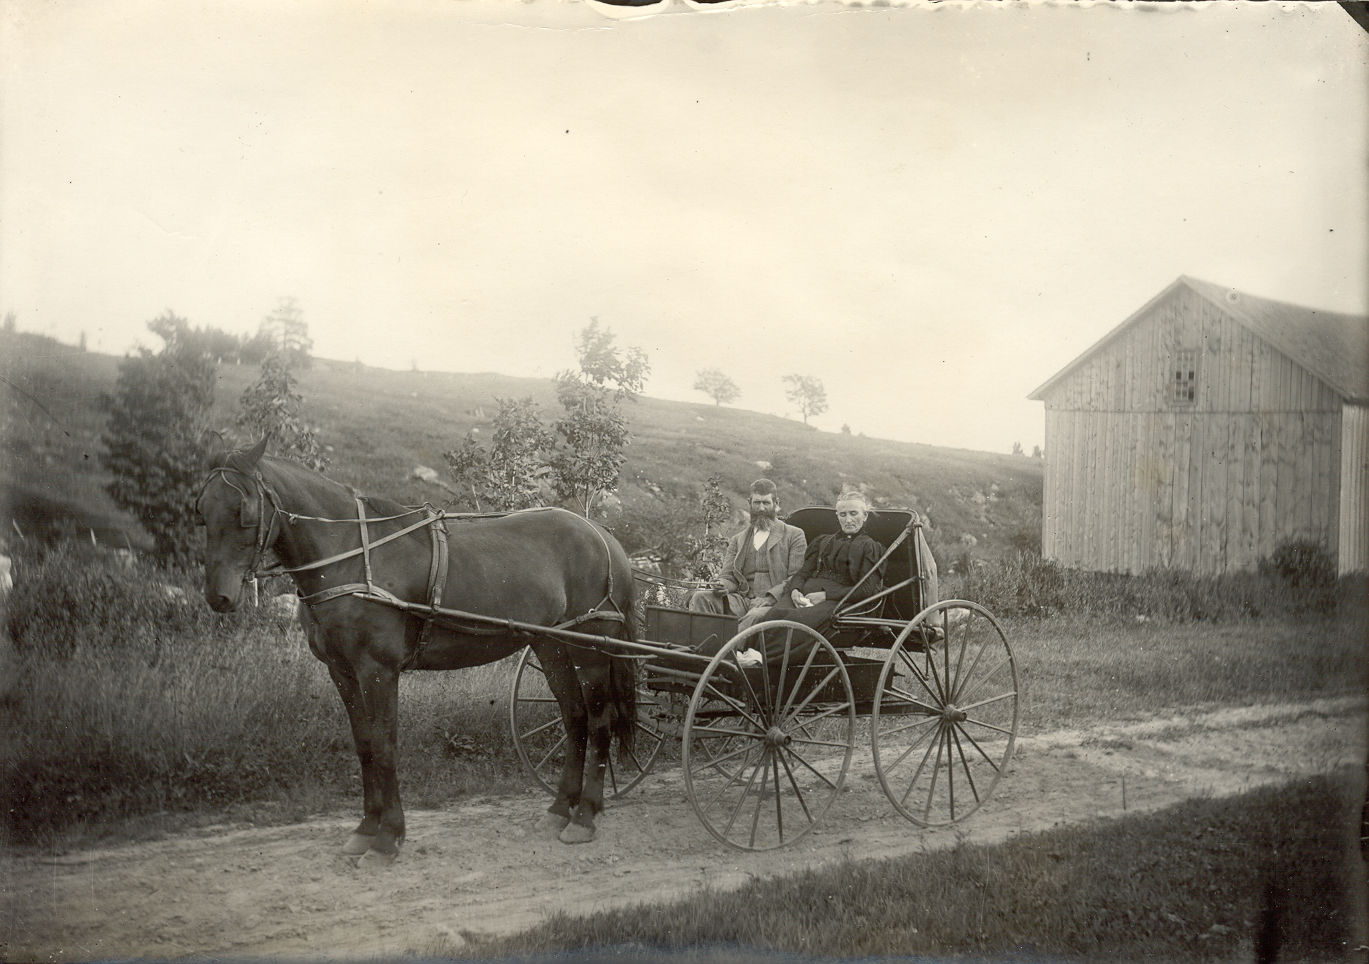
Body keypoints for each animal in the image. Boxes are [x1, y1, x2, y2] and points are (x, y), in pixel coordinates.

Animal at [196, 438, 638, 869]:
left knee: (600, 721)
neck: (353, 558)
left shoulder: (378, 670)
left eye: (243, 510)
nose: (219, 597)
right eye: (202, 511)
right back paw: (561, 807)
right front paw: (366, 828)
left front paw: (387, 837)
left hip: (592, 650)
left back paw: (586, 815)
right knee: (575, 717)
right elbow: (364, 744)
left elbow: (385, 744)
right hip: (552, 646)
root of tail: (603, 536)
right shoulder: (342, 671)